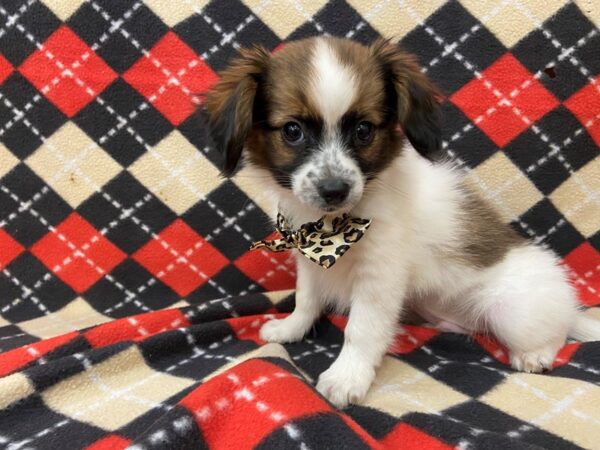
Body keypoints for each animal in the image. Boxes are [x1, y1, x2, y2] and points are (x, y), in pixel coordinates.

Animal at [203, 36, 600, 408]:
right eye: (292, 131)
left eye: (363, 130)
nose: (334, 189)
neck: (329, 226)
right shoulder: (309, 260)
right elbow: (306, 299)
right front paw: (291, 329)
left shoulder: (379, 276)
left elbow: (361, 329)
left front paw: (347, 377)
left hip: (515, 312)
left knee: (555, 333)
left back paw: (536, 354)